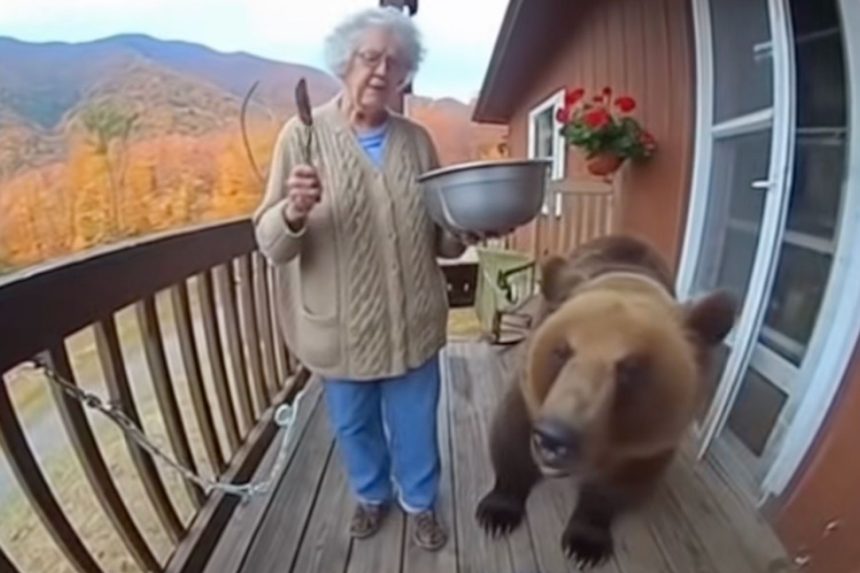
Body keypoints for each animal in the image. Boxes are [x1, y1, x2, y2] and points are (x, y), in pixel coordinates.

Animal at [475, 234, 737, 569]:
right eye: (561, 350)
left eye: (631, 368)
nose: (554, 438)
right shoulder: (531, 393)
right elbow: (511, 435)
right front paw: (497, 511)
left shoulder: (650, 438)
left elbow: (617, 485)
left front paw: (585, 543)